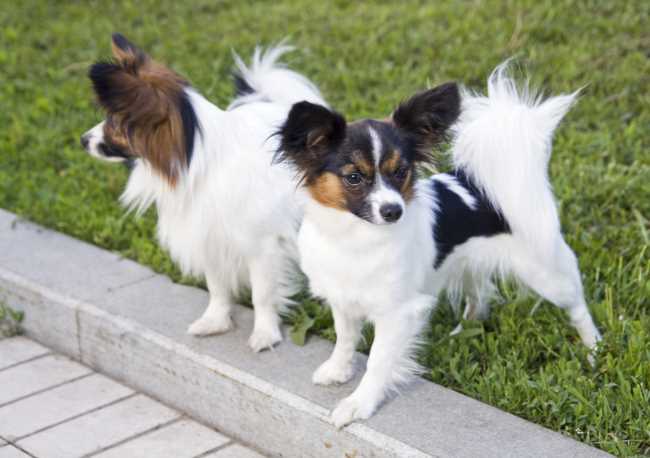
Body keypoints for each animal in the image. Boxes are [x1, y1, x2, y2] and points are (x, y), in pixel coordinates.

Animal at [80, 35, 324, 350]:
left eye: (112, 122)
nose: (83, 139)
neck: (198, 163)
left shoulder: (262, 246)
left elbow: (262, 294)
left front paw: (264, 333)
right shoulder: (208, 235)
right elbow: (216, 286)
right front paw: (215, 321)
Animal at [274, 62, 596, 428]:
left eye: (400, 172)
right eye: (354, 177)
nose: (393, 210)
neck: (356, 236)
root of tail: (489, 186)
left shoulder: (398, 312)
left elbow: (378, 361)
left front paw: (359, 404)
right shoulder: (343, 298)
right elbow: (345, 339)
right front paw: (338, 370)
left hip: (544, 272)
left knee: (577, 304)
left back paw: (593, 350)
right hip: (469, 263)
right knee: (479, 293)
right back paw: (465, 328)